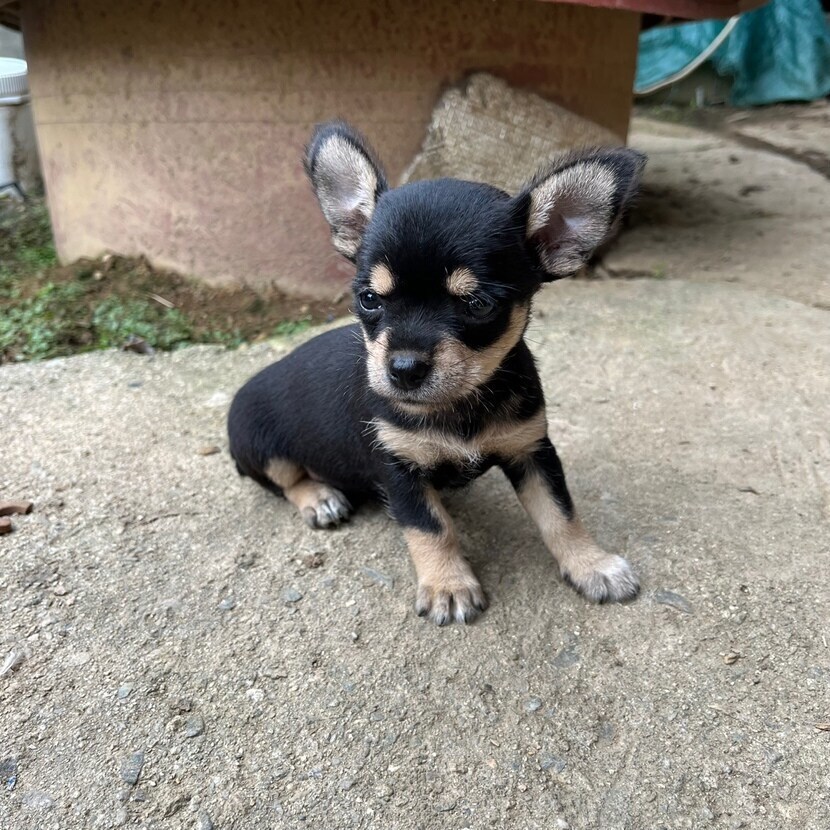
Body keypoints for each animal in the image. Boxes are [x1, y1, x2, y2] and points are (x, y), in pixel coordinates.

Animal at [228, 120, 645, 625]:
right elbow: (431, 528)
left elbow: (561, 514)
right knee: (286, 481)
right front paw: (448, 584)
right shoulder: (399, 470)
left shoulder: (533, 452)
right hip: (260, 446)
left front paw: (591, 564)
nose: (404, 368)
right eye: (369, 299)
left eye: (477, 305)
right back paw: (320, 497)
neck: (456, 406)